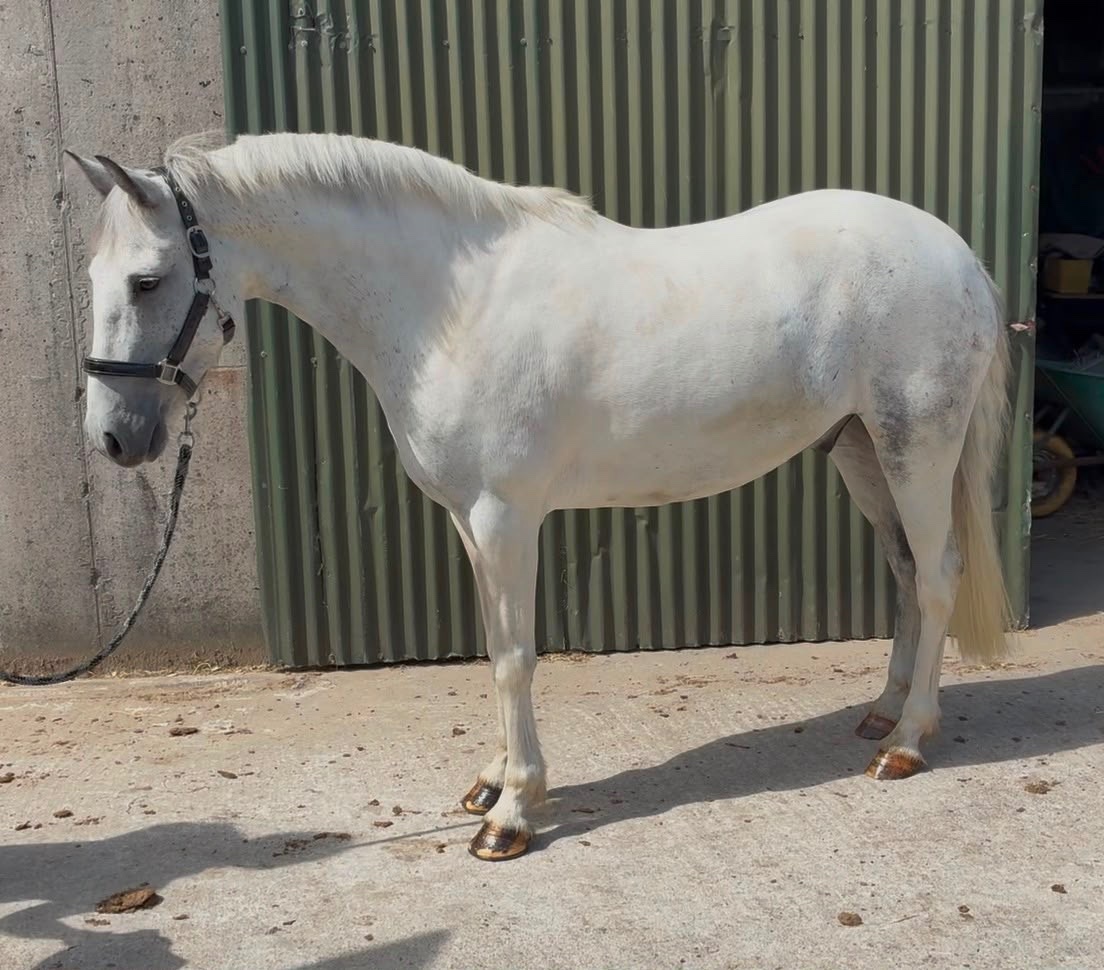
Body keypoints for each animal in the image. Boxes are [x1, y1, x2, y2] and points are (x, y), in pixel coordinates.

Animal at [66, 131, 1011, 861]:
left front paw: (514, 814)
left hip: (916, 448)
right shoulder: (469, 520)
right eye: (95, 276)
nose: (114, 438)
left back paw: (907, 742)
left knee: (936, 577)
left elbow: (517, 658)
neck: (449, 308)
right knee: (904, 574)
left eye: (148, 280)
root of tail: (957, 254)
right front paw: (491, 784)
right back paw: (880, 714)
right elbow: (494, 648)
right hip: (859, 449)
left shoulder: (505, 516)